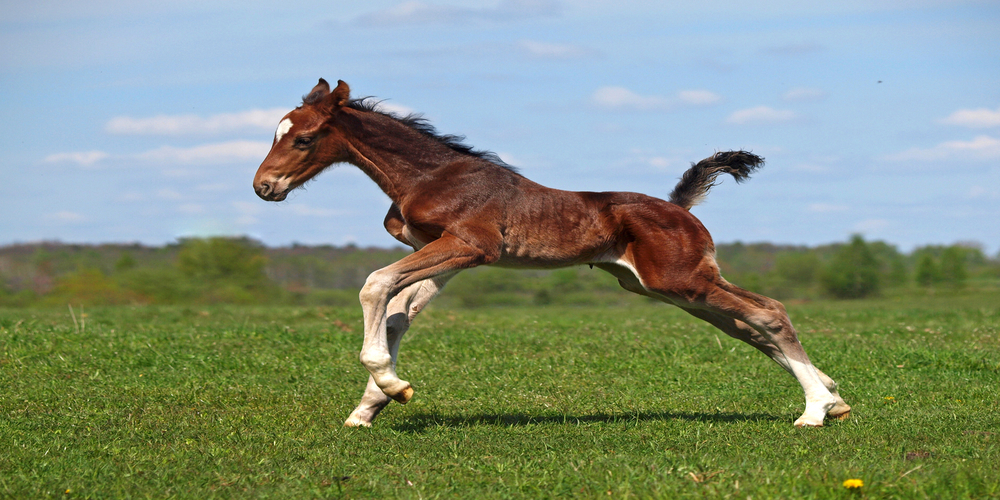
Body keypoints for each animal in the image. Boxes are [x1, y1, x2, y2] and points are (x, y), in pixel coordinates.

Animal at [256, 80, 852, 428]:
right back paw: (832, 395)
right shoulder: (447, 254)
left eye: (304, 138)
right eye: (276, 132)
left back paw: (814, 412)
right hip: (667, 287)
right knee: (749, 327)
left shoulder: (470, 246)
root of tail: (679, 207)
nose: (264, 187)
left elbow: (376, 285)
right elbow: (401, 314)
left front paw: (389, 384)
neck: (430, 174)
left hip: (680, 280)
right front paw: (372, 404)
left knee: (769, 312)